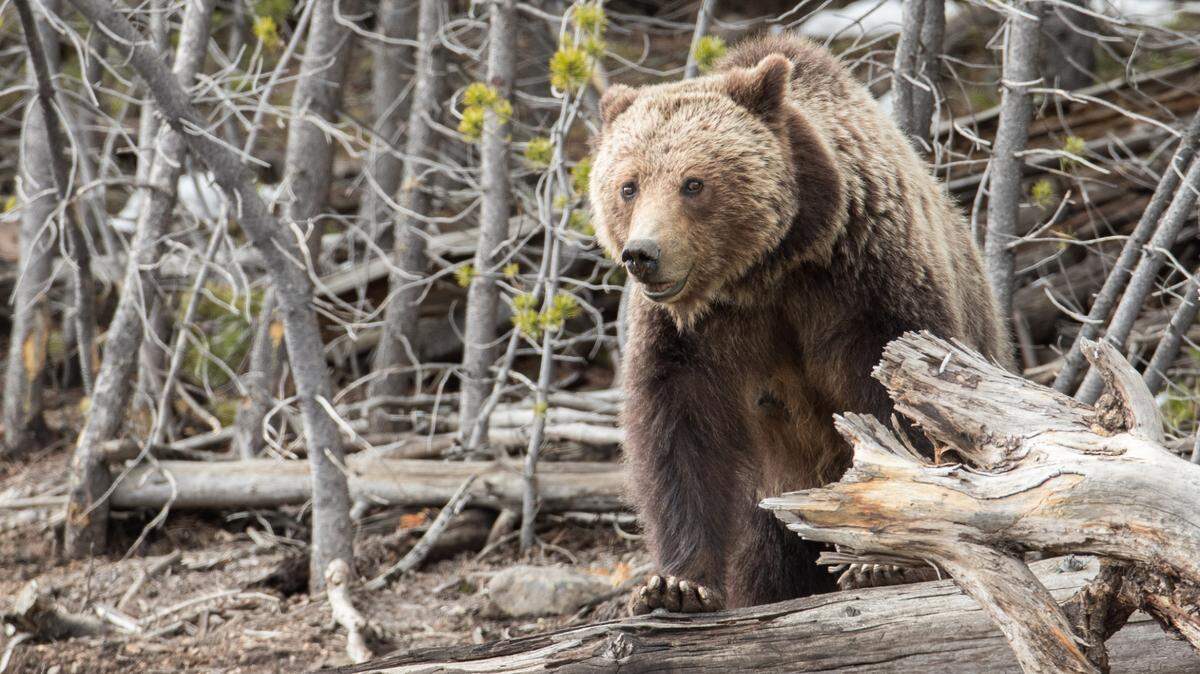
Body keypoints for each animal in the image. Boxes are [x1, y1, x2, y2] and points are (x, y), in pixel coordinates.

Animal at [587, 33, 1013, 614]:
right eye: (628, 185)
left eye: (693, 183)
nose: (643, 254)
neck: (766, 270)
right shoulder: (690, 334)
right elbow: (679, 433)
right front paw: (676, 585)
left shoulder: (865, 284)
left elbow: (903, 404)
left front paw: (883, 562)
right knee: (766, 557)